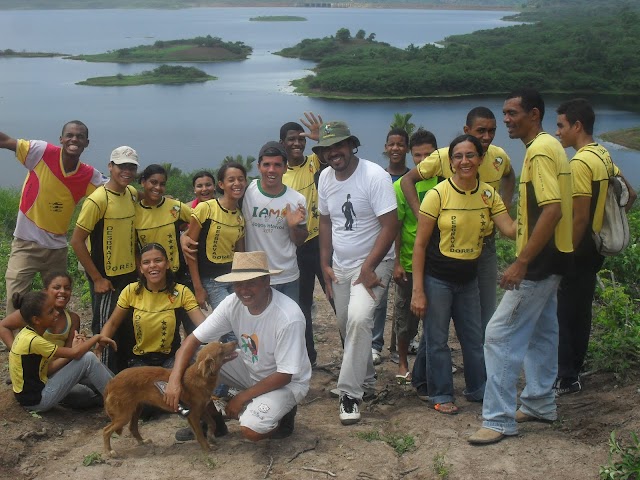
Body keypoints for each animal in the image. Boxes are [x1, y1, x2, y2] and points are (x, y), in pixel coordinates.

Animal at [102, 340, 238, 456]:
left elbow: (212, 423)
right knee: (106, 430)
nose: (235, 342)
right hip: (124, 415)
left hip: (136, 409)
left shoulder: (202, 409)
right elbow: (200, 434)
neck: (200, 377)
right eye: (221, 350)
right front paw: (207, 448)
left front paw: (211, 436)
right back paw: (109, 451)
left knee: (133, 428)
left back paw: (142, 441)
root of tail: (111, 382)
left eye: (221, 342)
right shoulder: (193, 415)